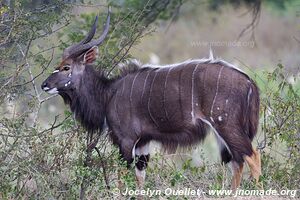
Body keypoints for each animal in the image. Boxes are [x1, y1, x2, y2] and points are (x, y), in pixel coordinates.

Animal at [41, 9, 262, 191]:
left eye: (66, 67)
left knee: (252, 156)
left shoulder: (126, 140)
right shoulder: (143, 142)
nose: (44, 84)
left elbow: (122, 177)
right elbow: (140, 178)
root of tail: (249, 82)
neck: (109, 93)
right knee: (238, 161)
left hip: (226, 125)